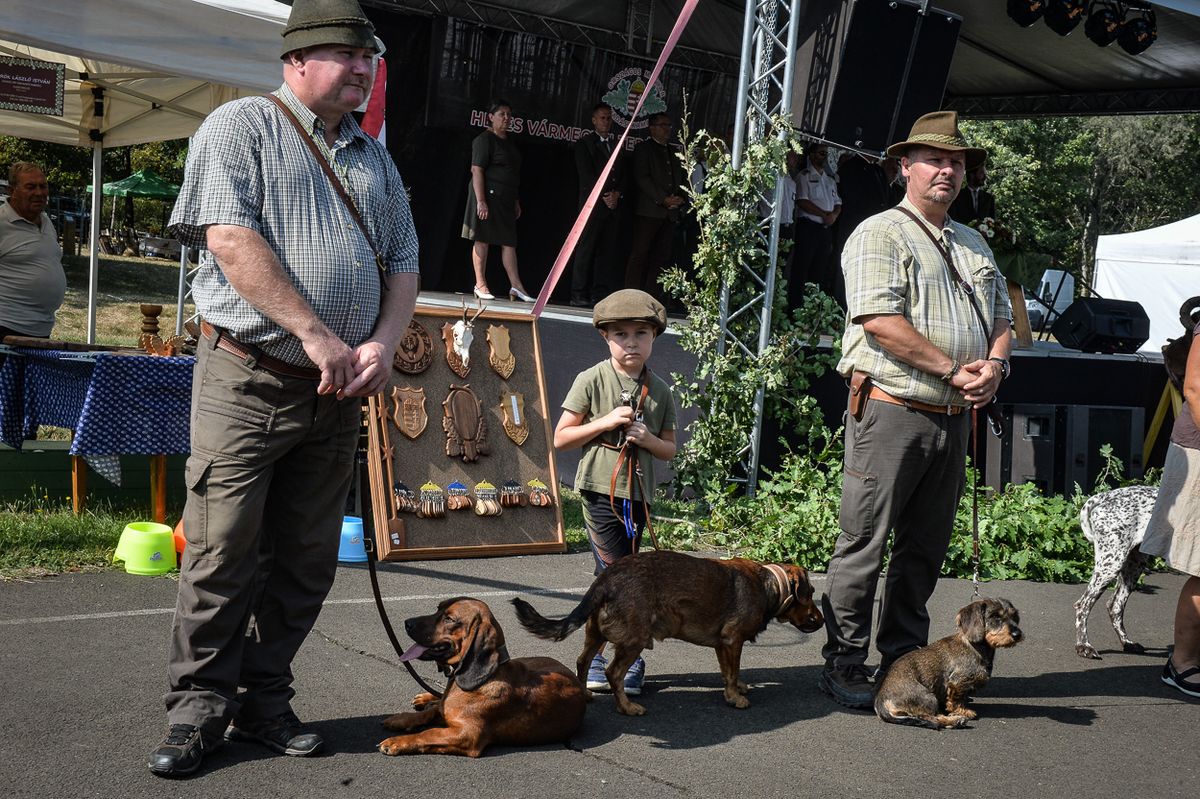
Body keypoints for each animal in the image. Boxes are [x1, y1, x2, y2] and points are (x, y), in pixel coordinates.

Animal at [379, 595, 585, 758]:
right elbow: (430, 713)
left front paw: (397, 742)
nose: (407, 623)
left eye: (449, 619)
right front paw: (402, 719)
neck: (487, 678)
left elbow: (429, 733)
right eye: (438, 608)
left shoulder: (468, 735)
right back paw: (426, 698)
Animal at [506, 551, 825, 710]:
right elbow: (733, 672)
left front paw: (736, 689)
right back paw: (626, 707)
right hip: (634, 639)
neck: (770, 584)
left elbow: (728, 672)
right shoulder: (733, 640)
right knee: (613, 673)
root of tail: (606, 578)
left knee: (583, 662)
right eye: (810, 594)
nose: (822, 620)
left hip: (595, 634)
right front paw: (735, 698)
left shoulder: (722, 645)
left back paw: (585, 694)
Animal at [873, 595, 1022, 724]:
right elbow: (956, 700)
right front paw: (962, 711)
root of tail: (881, 700)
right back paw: (956, 720)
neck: (975, 646)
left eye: (1014, 616)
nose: (1017, 634)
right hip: (928, 698)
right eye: (995, 616)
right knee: (930, 718)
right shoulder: (958, 681)